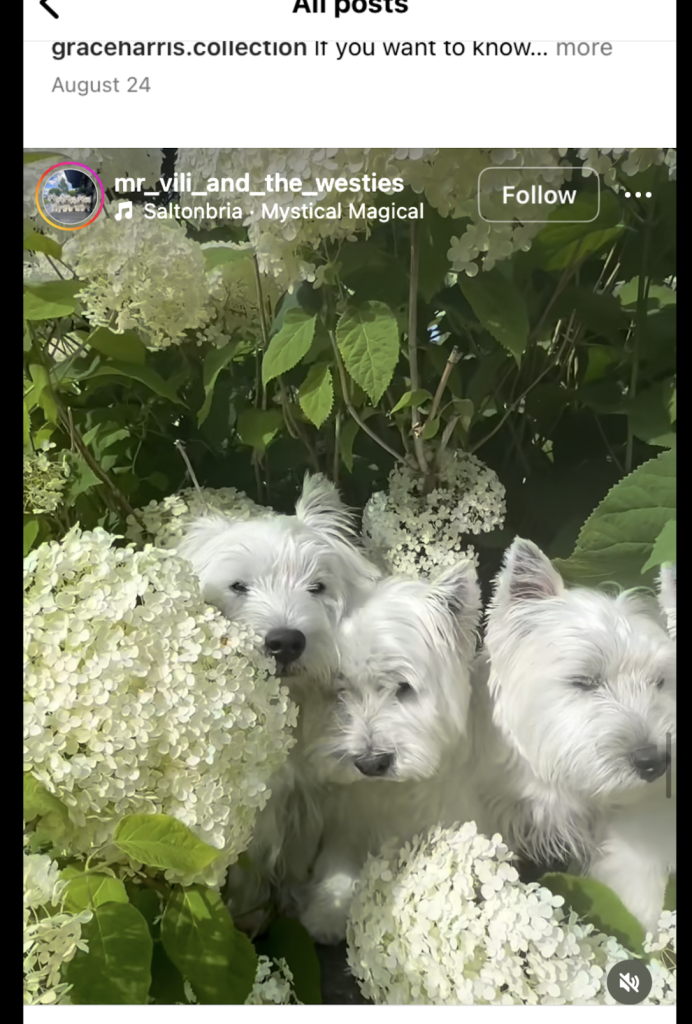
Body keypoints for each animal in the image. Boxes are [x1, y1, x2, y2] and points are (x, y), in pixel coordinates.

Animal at [295, 560, 483, 944]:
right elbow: (338, 860)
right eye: (339, 690)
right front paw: (327, 910)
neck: (391, 792)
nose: (372, 763)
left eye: (403, 686)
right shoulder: (346, 822)